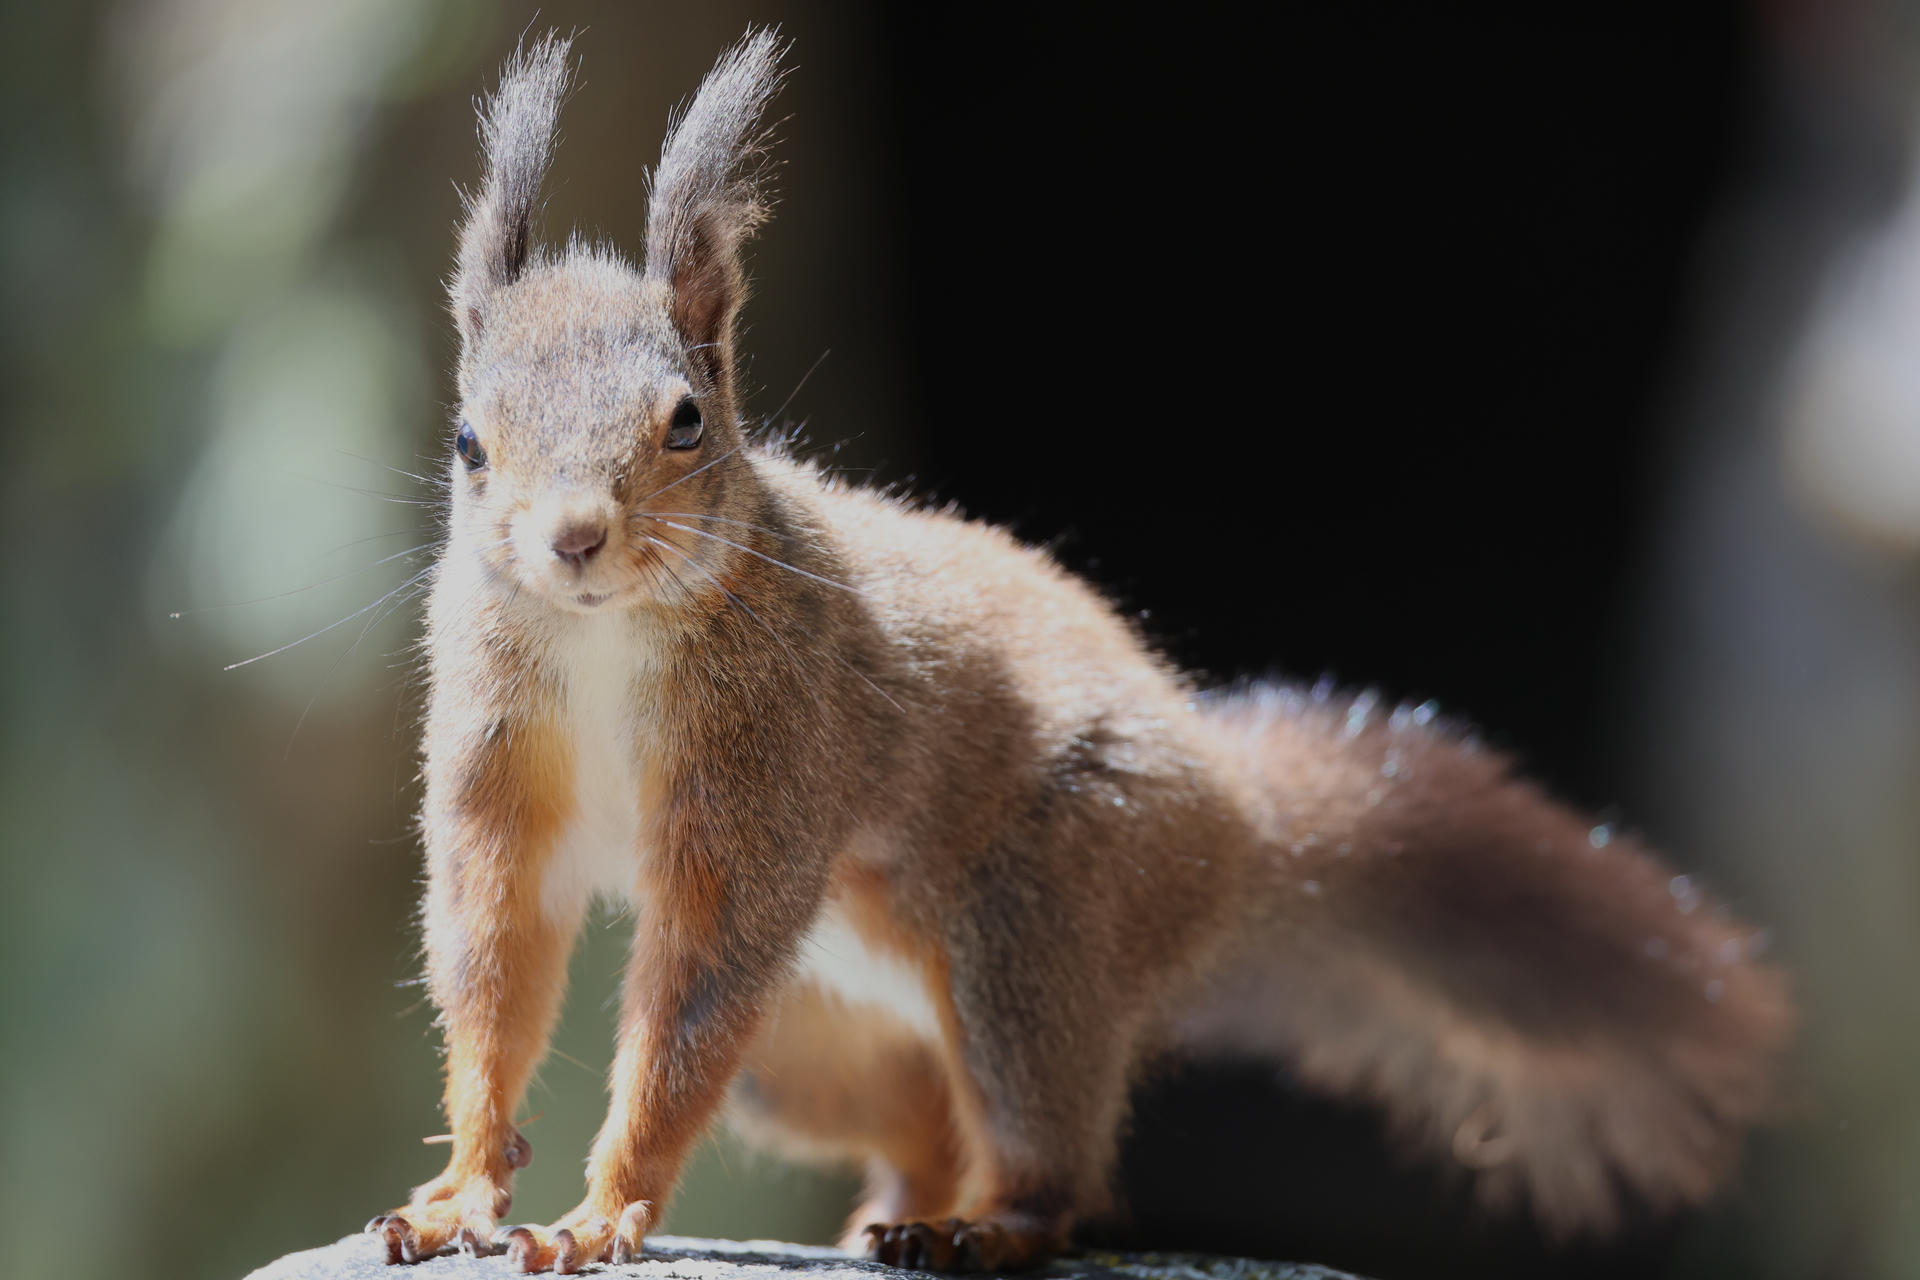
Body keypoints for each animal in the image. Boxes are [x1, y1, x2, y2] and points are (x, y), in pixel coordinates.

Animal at [361, 30, 1792, 1275]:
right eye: (469, 442)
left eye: (686, 422)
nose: (575, 538)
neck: (606, 640)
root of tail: (1239, 836)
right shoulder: (498, 774)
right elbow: (494, 962)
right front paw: (464, 1188)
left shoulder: (769, 766)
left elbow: (688, 1007)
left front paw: (602, 1212)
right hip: (819, 1040)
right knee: (925, 1128)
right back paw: (894, 1215)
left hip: (1035, 925)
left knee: (1049, 1161)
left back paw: (980, 1229)